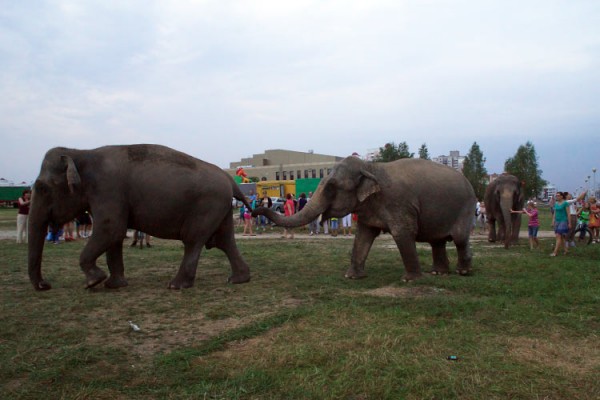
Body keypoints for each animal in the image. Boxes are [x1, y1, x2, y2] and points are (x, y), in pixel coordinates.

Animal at [28, 144, 252, 290]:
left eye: (41, 188)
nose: (45, 285)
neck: (80, 152)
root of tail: (230, 180)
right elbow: (114, 235)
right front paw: (114, 285)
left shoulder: (107, 189)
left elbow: (111, 229)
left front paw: (94, 282)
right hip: (220, 208)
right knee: (224, 241)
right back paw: (238, 280)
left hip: (207, 206)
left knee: (193, 240)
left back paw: (176, 285)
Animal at [251, 156, 476, 282]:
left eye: (331, 187)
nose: (254, 210)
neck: (372, 167)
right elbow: (363, 236)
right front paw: (351, 277)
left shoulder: (399, 203)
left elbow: (403, 233)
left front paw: (410, 281)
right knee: (437, 241)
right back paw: (439, 274)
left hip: (466, 208)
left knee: (459, 239)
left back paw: (463, 272)